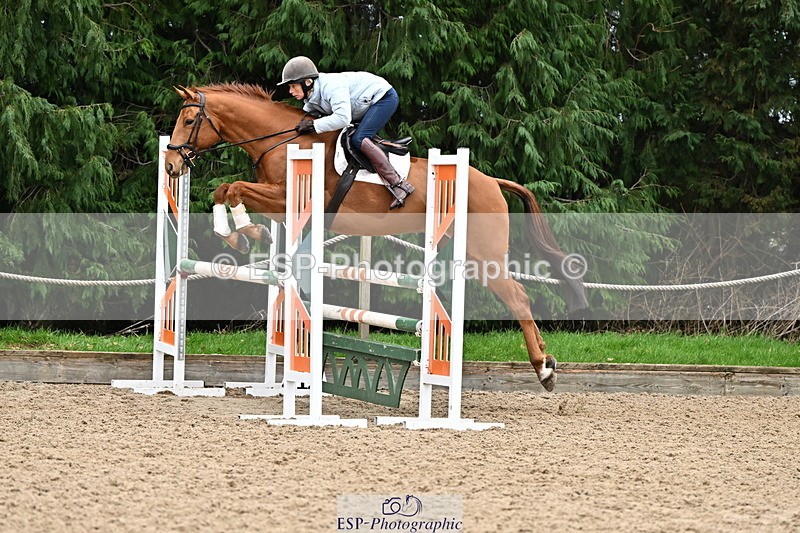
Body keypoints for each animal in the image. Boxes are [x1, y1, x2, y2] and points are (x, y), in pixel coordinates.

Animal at [164, 83, 588, 391]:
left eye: (189, 119)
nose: (170, 165)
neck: (281, 139)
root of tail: (491, 181)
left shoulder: (288, 197)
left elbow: (233, 188)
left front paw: (244, 234)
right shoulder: (279, 204)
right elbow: (223, 189)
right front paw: (240, 235)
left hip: (483, 253)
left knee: (518, 296)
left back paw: (544, 369)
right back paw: (545, 364)